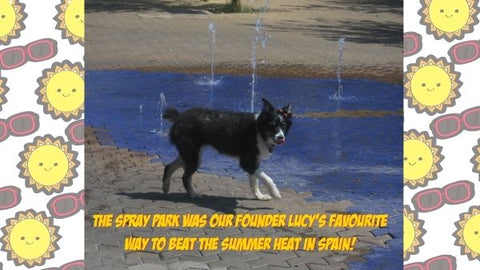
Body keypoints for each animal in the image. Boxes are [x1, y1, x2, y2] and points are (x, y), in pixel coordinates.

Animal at [163, 98, 292, 199]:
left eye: (283, 126)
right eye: (272, 125)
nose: (281, 137)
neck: (259, 130)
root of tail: (180, 117)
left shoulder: (253, 161)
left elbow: (254, 180)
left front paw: (259, 196)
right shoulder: (247, 162)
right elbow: (267, 178)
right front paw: (275, 192)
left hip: (191, 154)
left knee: (169, 167)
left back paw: (165, 187)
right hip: (193, 156)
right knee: (185, 177)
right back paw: (193, 194)